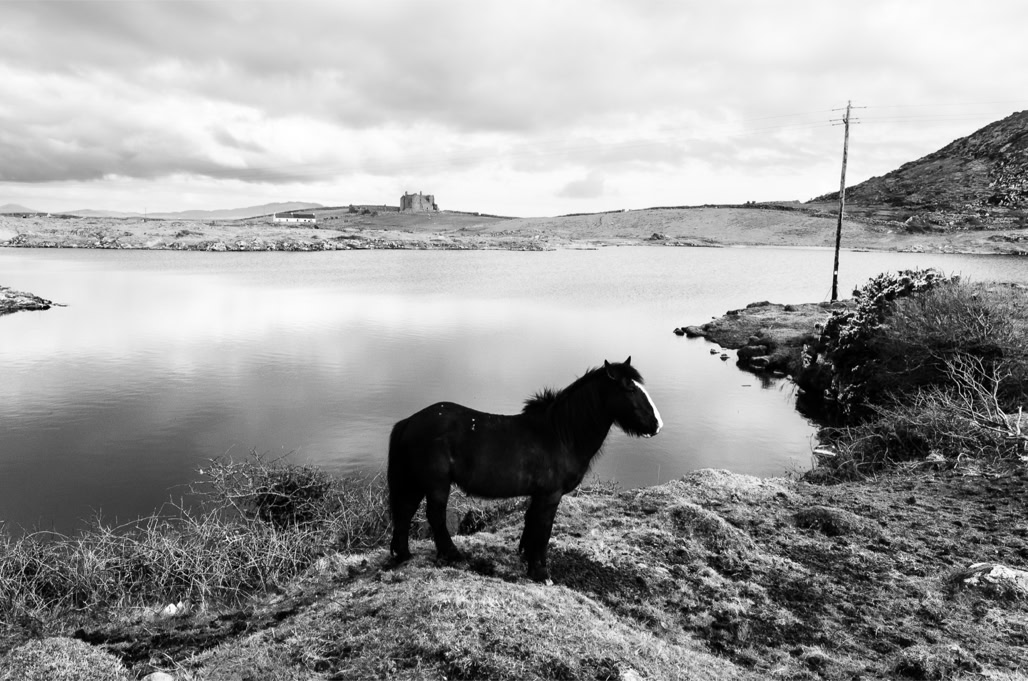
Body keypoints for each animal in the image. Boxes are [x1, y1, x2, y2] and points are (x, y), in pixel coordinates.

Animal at [387, 357, 662, 583]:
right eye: (629, 388)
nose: (657, 424)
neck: (560, 435)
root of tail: (409, 421)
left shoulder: (538, 495)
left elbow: (531, 525)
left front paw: (528, 560)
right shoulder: (550, 495)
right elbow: (543, 530)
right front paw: (540, 572)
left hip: (415, 482)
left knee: (404, 513)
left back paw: (404, 555)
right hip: (436, 484)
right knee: (434, 517)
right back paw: (452, 554)